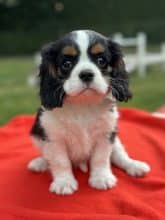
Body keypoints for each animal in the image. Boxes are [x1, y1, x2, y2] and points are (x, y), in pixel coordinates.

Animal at [28, 30, 151, 195]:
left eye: (101, 60)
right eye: (67, 64)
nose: (86, 74)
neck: (83, 104)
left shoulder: (106, 134)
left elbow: (101, 158)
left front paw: (101, 178)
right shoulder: (53, 138)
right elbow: (60, 161)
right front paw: (64, 182)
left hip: (116, 140)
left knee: (119, 156)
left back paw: (134, 166)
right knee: (47, 156)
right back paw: (40, 163)